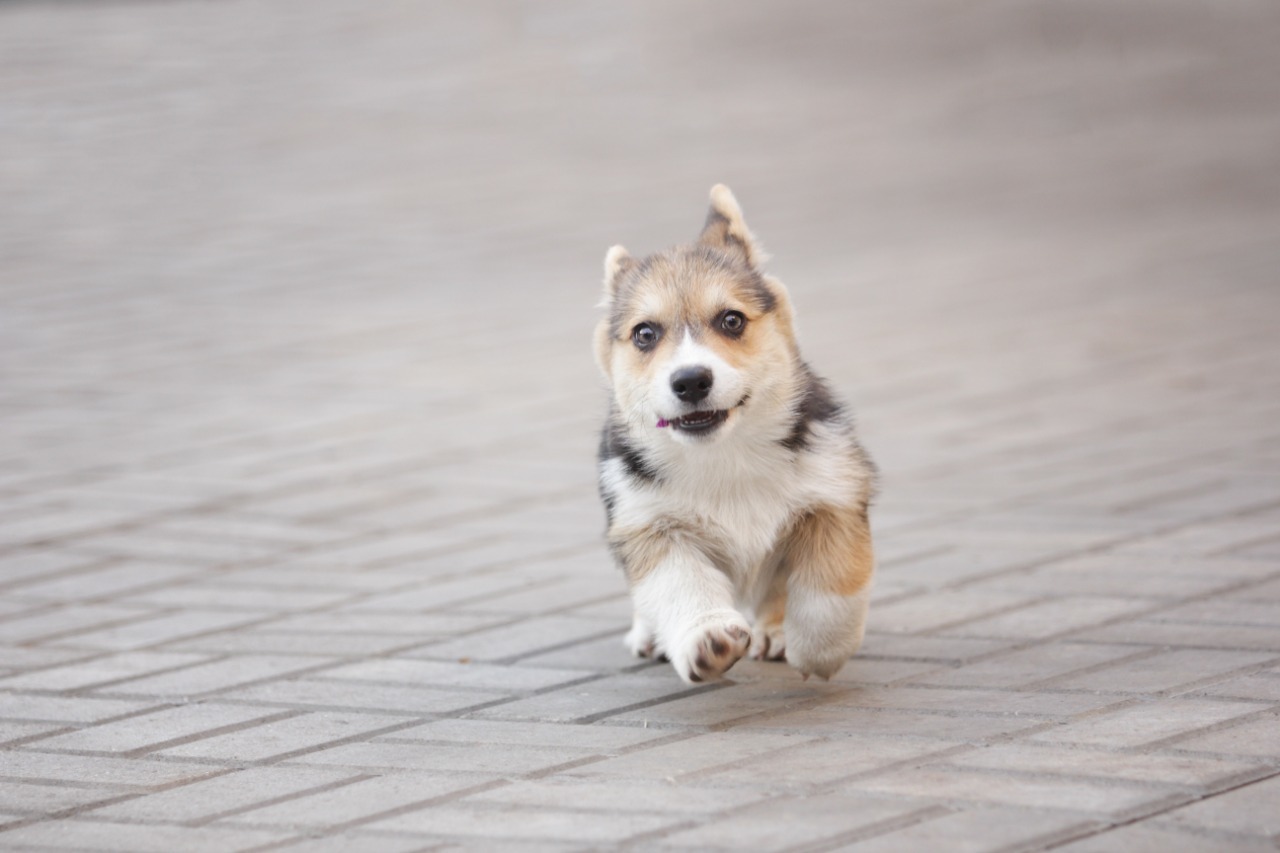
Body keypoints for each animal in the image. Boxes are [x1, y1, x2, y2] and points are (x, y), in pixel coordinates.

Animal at [591, 185, 875, 686]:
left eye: (731, 320)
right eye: (644, 334)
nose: (690, 381)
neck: (725, 455)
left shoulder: (833, 496)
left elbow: (829, 591)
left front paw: (818, 651)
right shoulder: (651, 523)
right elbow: (681, 586)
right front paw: (708, 640)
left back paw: (776, 633)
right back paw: (648, 635)